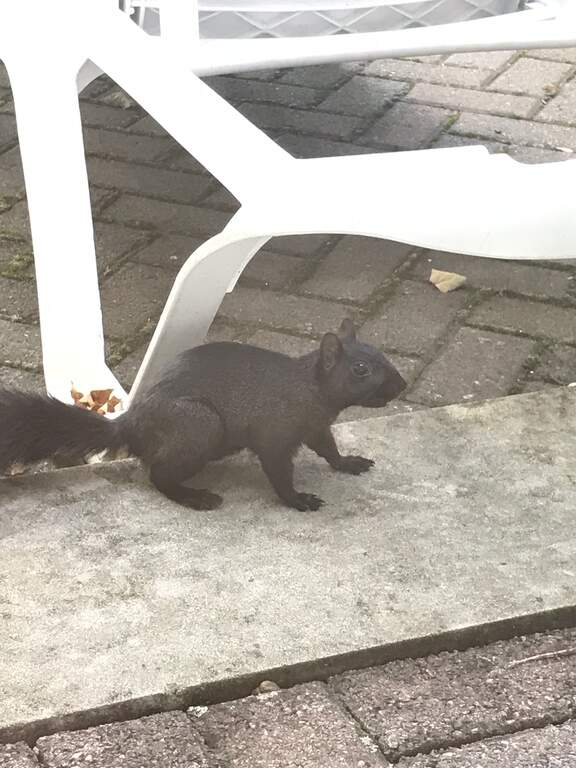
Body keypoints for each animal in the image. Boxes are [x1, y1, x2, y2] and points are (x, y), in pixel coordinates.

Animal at [0, 319, 405, 511]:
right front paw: (297, 499)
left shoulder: (316, 426)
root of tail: (134, 426)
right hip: (199, 426)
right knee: (159, 475)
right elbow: (278, 471)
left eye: (382, 354)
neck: (311, 390)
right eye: (360, 369)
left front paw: (349, 462)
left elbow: (329, 450)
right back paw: (195, 497)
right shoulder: (275, 432)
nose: (401, 385)